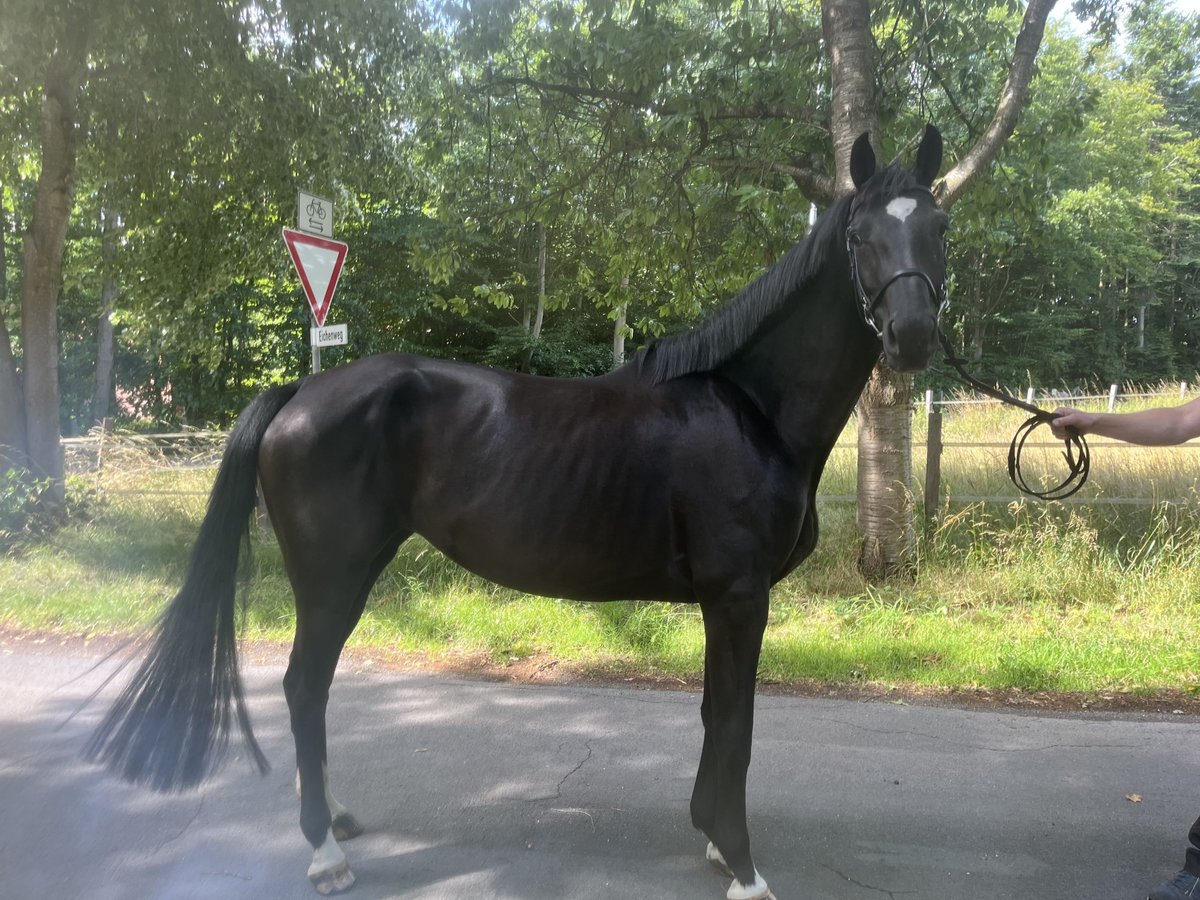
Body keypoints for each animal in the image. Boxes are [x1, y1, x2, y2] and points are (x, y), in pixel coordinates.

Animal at [85, 126, 949, 899]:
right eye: (861, 235)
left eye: (938, 227)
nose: (911, 336)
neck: (750, 410)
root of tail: (300, 391)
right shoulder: (738, 597)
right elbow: (735, 726)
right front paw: (743, 868)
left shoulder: (722, 602)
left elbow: (713, 714)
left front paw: (710, 837)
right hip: (330, 578)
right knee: (303, 687)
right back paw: (325, 852)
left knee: (315, 689)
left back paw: (336, 818)